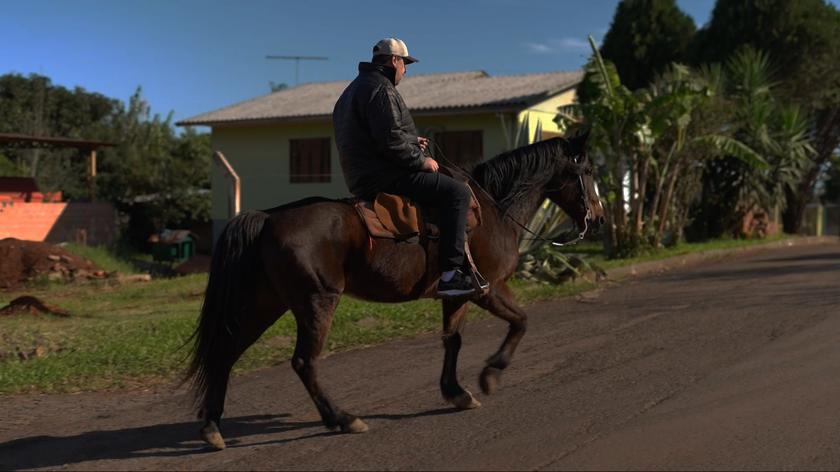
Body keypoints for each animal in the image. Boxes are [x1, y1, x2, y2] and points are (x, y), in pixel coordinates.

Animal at [185, 134, 604, 450]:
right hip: (316, 302)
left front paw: (456, 392)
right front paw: (490, 374)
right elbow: (520, 321)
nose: (599, 219)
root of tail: (269, 218)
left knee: (226, 352)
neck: (494, 209)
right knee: (304, 362)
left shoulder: (457, 294)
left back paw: (211, 427)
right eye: (588, 170)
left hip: (266, 303)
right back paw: (342, 418)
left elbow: (453, 340)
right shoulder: (486, 289)